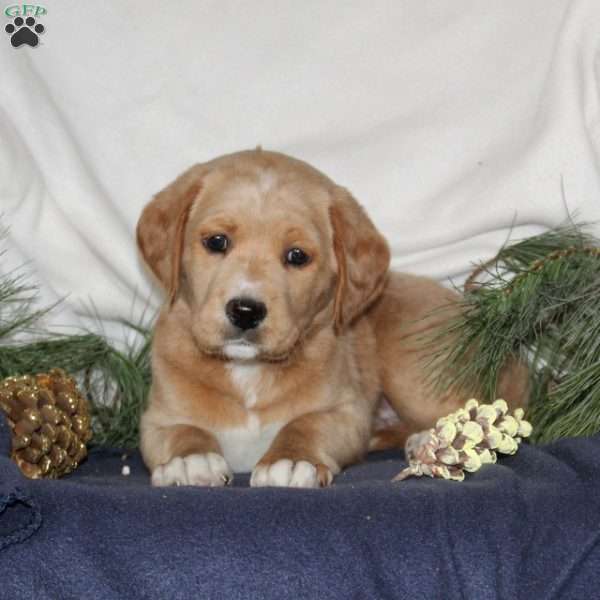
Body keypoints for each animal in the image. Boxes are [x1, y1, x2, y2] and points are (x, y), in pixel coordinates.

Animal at [136, 149, 524, 488]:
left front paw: (290, 459)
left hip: (414, 367)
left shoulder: (346, 412)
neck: (248, 372)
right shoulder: (157, 418)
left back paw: (440, 441)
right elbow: (183, 430)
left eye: (297, 256)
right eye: (217, 242)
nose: (246, 311)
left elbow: (306, 424)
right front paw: (190, 459)